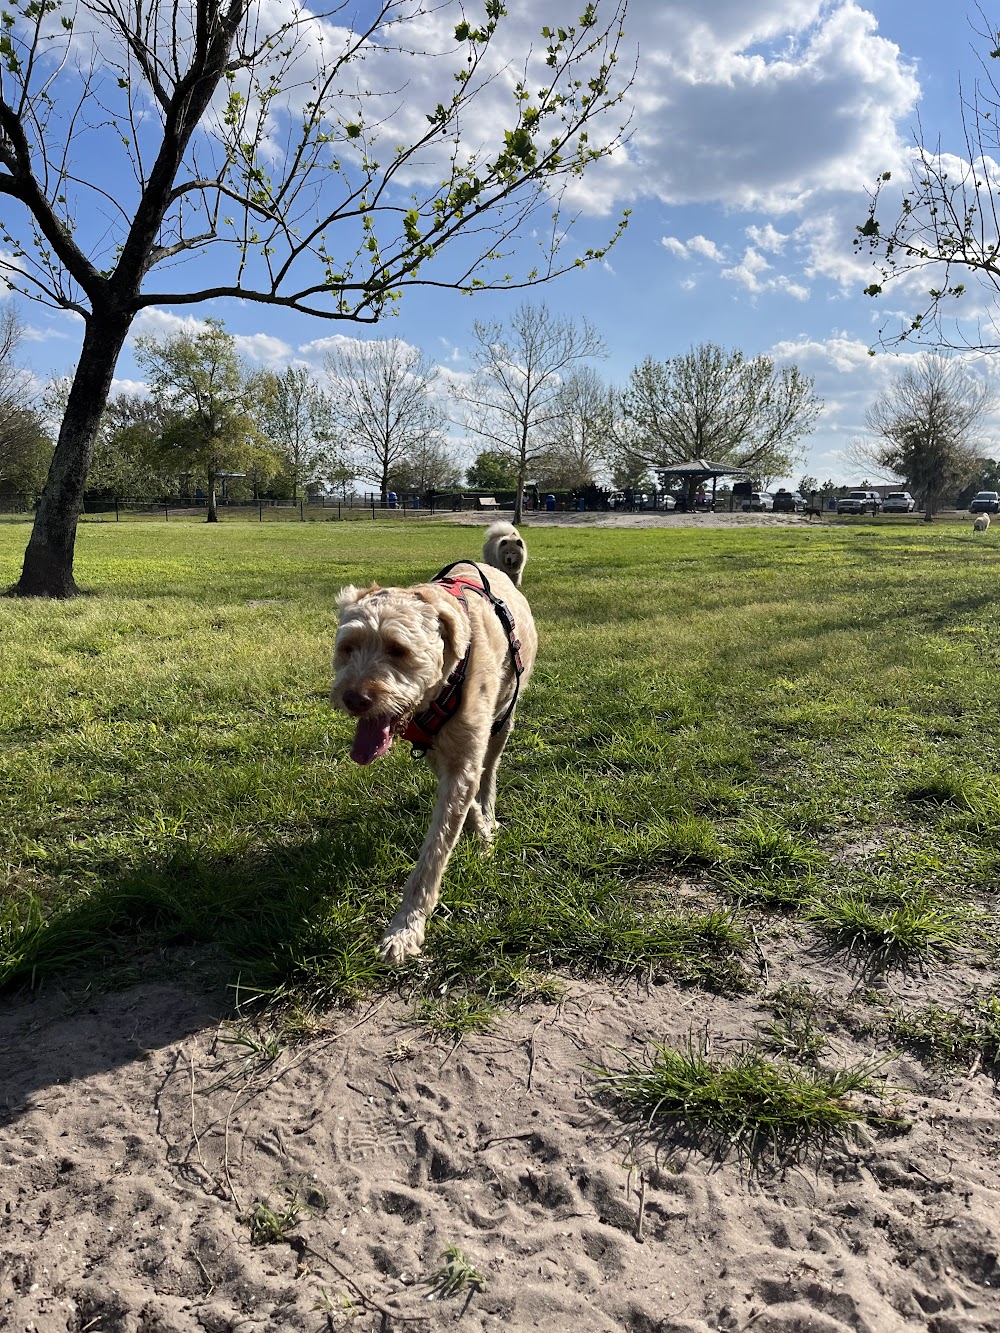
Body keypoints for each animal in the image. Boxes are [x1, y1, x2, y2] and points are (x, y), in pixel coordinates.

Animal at [334, 557, 541, 965]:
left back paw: (489, 809)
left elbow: (434, 853)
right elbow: (461, 802)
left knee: (490, 771)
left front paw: (405, 929)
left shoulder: (465, 755)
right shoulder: (439, 752)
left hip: (505, 716)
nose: (354, 698)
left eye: (398, 650)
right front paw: (480, 830)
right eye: (347, 647)